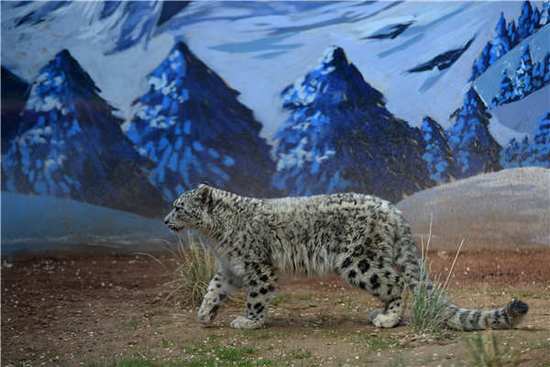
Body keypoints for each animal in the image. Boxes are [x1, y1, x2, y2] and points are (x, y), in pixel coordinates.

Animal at [165, 185, 532, 332]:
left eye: (179, 207)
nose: (167, 221)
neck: (215, 238)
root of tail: (392, 209)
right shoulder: (229, 268)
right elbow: (213, 289)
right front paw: (204, 314)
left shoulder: (258, 268)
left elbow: (256, 298)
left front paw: (248, 321)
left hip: (359, 262)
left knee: (396, 282)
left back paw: (387, 319)